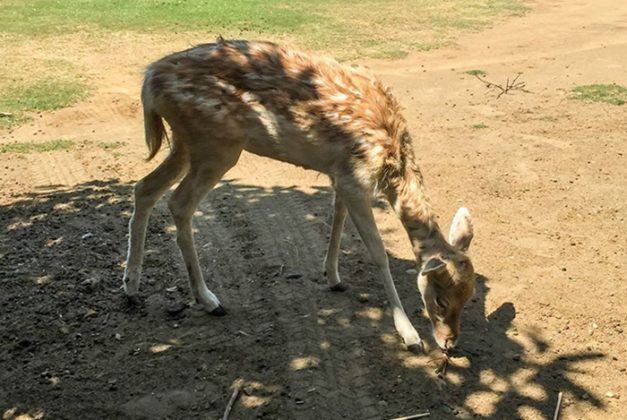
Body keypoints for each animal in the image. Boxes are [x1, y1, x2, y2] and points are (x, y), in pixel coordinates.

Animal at [121, 39, 476, 352]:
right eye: (440, 299)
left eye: (469, 297)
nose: (449, 343)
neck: (392, 161)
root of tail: (149, 80)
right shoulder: (356, 177)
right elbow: (377, 251)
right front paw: (409, 334)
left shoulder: (340, 173)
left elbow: (337, 217)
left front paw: (333, 276)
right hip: (216, 143)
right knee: (179, 202)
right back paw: (208, 300)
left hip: (188, 143)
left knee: (145, 188)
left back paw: (132, 288)